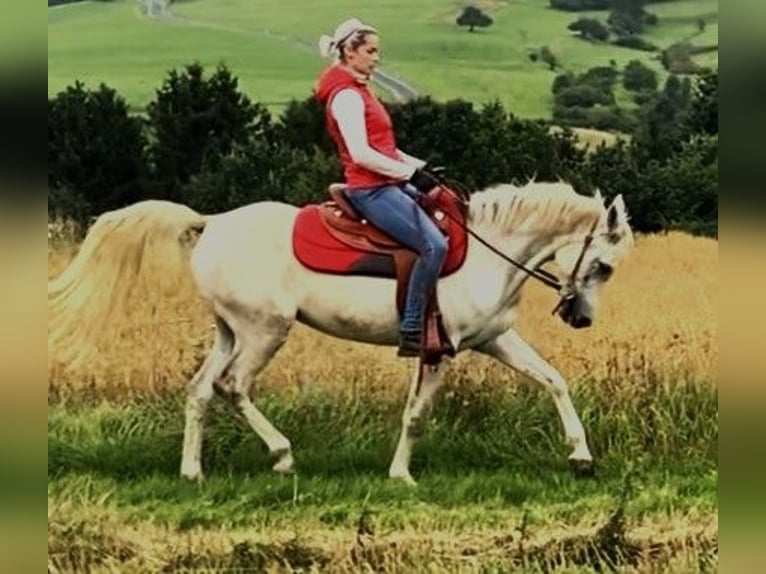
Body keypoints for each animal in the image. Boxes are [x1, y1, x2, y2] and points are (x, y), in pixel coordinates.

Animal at [46, 181, 636, 486]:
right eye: (605, 266)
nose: (582, 318)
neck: (488, 254)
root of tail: (211, 222)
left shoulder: (492, 340)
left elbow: (553, 381)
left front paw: (581, 455)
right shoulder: (440, 352)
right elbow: (417, 414)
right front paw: (400, 475)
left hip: (230, 330)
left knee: (199, 391)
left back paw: (192, 471)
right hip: (264, 331)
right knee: (233, 387)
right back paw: (282, 454)